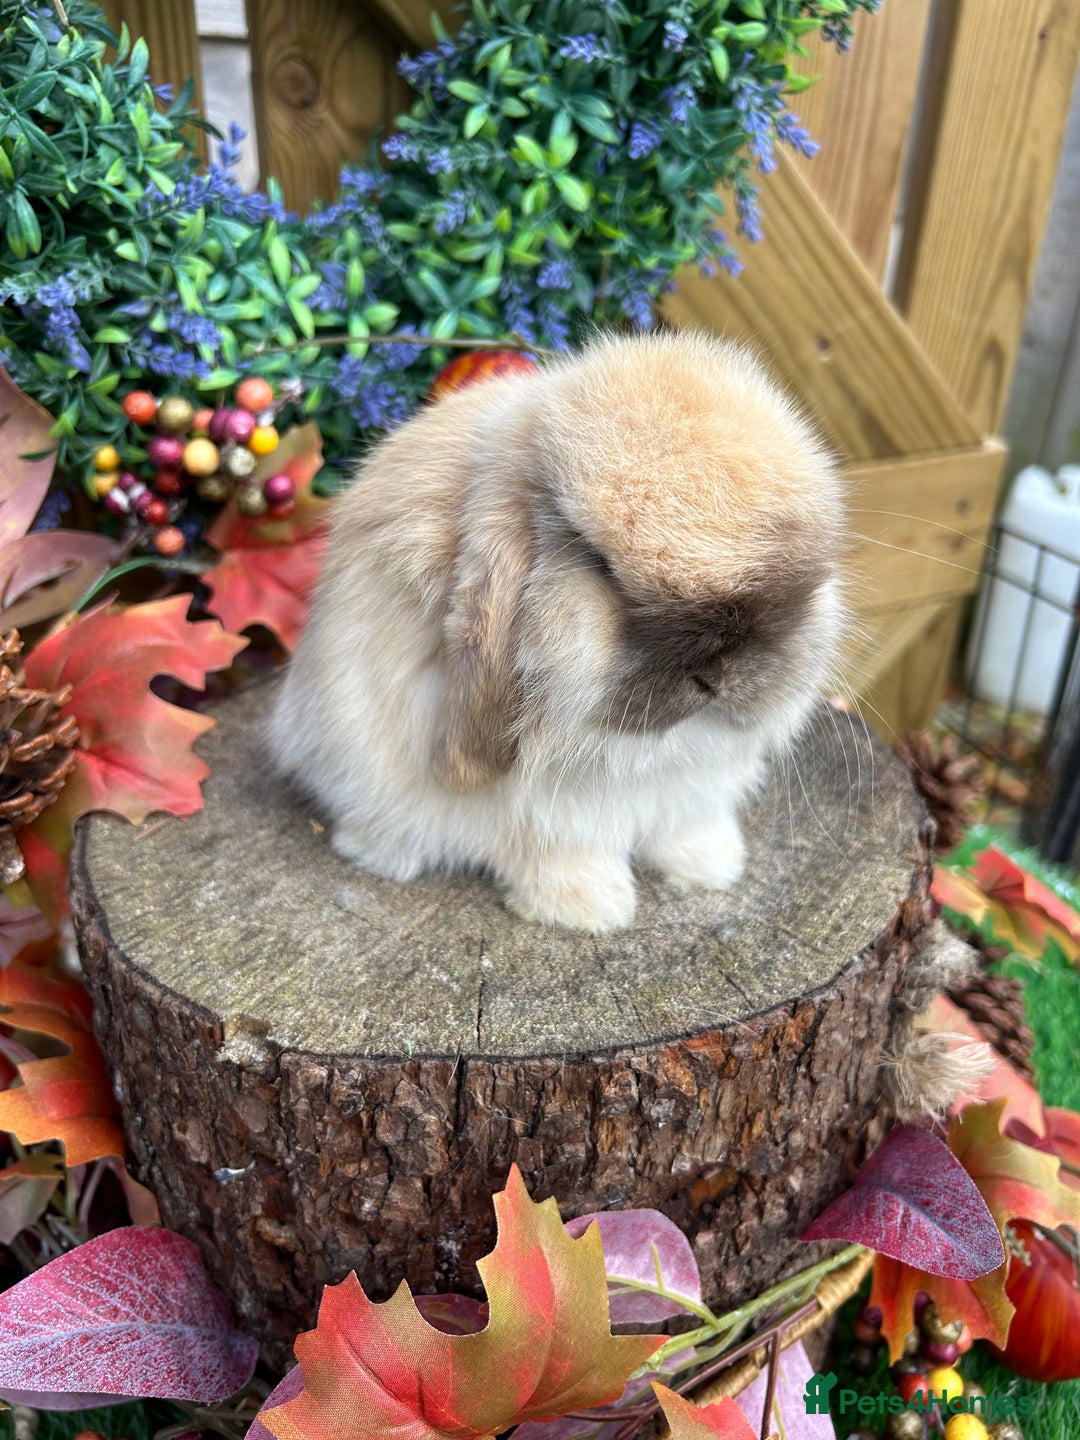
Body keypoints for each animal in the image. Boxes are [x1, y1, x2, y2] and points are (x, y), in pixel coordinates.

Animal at [267, 329, 846, 934]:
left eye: (793, 582)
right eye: (601, 565)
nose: (719, 676)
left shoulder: (687, 795)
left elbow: (685, 828)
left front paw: (714, 867)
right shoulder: (551, 818)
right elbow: (560, 853)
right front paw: (594, 909)